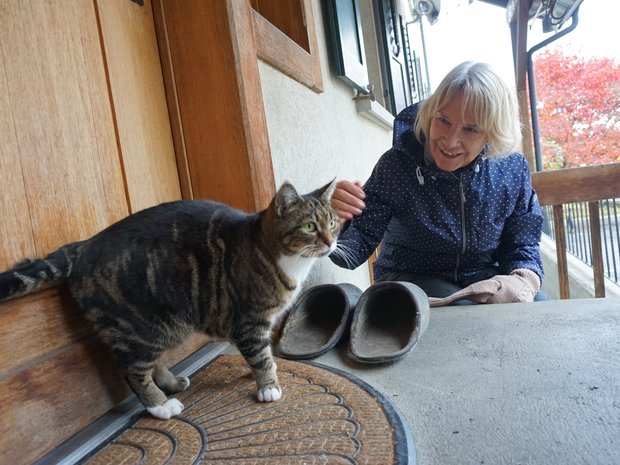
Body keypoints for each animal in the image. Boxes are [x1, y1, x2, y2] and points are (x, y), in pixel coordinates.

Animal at [0, 179, 340, 418]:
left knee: (150, 362)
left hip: (166, 326)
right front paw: (268, 387)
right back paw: (160, 405)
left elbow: (260, 354)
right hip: (143, 324)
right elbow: (260, 355)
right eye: (310, 226)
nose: (331, 242)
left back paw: (173, 383)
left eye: (333, 222)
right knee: (131, 368)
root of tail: (84, 245)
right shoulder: (250, 320)